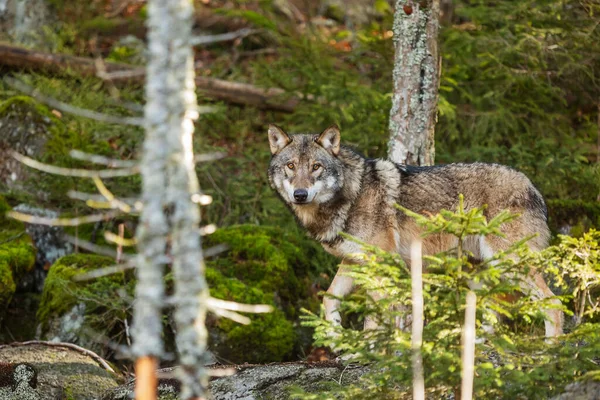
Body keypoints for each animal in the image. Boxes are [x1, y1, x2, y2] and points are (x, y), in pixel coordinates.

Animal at [268, 124, 564, 338]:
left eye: (316, 167)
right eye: (291, 166)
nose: (300, 194)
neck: (350, 195)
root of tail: (534, 188)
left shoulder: (380, 264)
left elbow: (375, 316)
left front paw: (371, 351)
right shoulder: (354, 262)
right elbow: (329, 301)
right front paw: (337, 340)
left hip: (509, 263)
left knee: (552, 302)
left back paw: (552, 350)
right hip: (482, 272)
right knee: (496, 306)